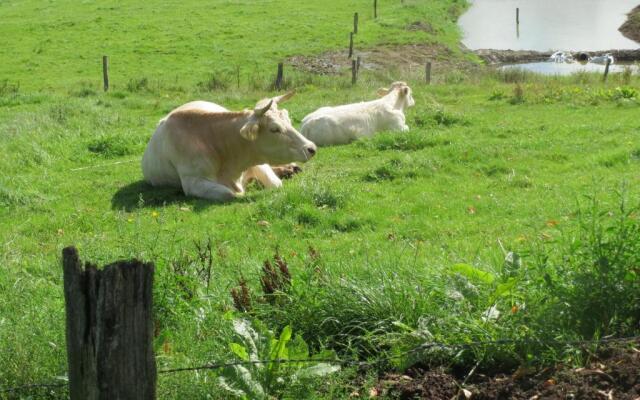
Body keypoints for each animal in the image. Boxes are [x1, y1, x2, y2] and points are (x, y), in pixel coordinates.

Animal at [142, 92, 318, 202]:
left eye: (289, 121)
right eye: (274, 129)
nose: (311, 148)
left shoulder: (257, 160)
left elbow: (275, 184)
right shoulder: (193, 182)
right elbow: (231, 194)